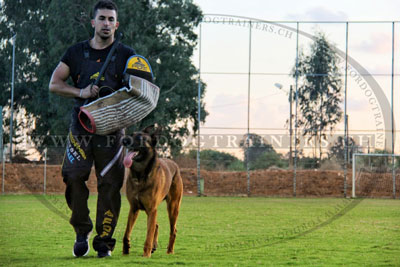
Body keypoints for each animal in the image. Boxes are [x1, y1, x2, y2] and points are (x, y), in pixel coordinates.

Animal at [121, 126, 184, 258]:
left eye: (140, 138)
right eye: (131, 134)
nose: (124, 140)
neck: (140, 175)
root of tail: (174, 164)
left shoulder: (151, 209)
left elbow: (148, 235)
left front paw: (146, 254)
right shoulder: (134, 208)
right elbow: (126, 233)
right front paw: (125, 250)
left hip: (172, 207)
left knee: (173, 230)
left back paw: (169, 251)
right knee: (156, 224)